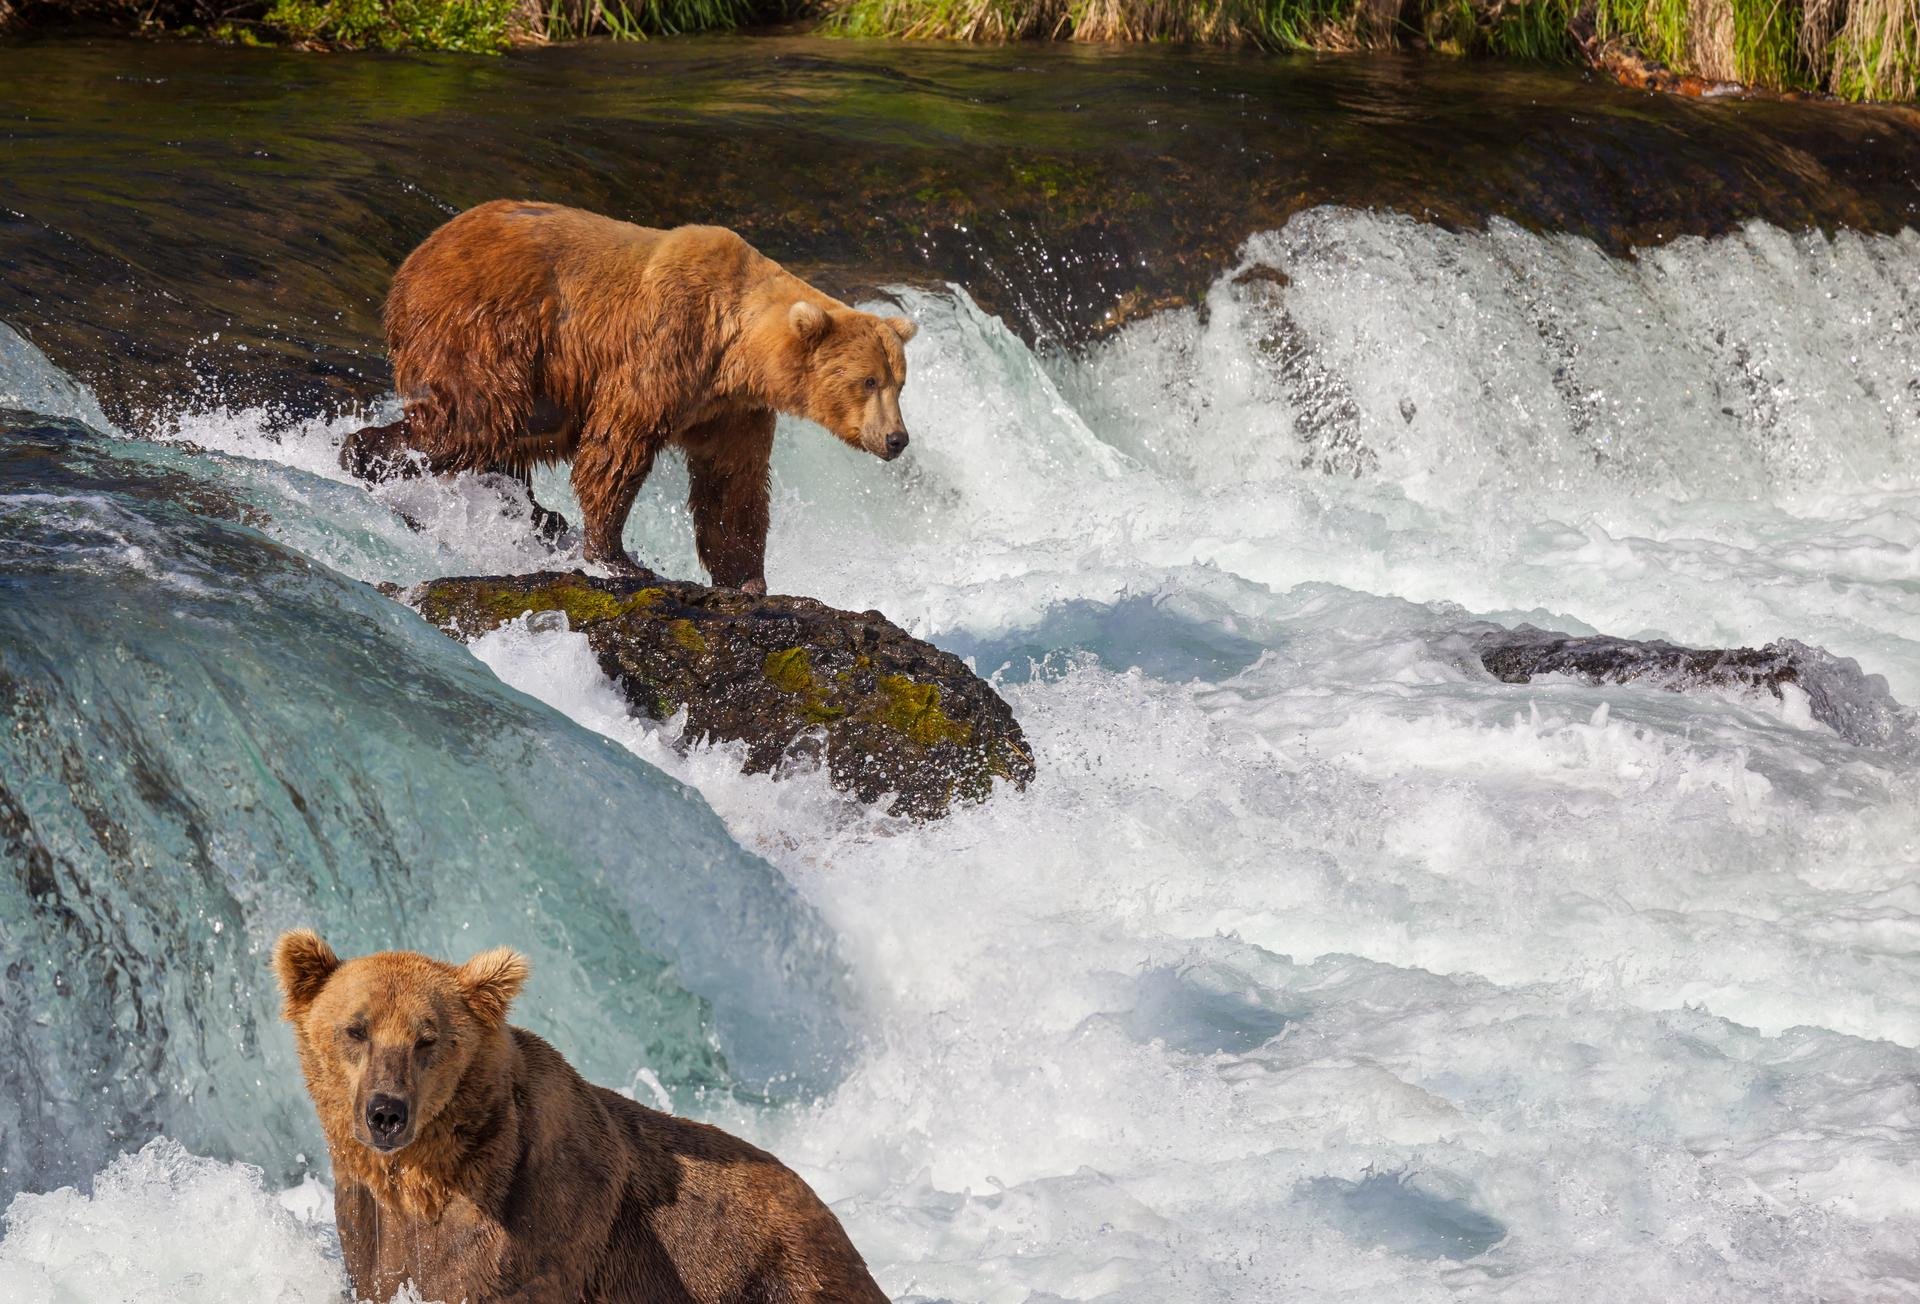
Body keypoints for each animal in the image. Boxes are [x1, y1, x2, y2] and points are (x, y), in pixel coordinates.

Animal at [343, 200, 913, 591]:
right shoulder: (666, 347)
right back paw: (365, 454)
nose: (897, 438)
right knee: (472, 419)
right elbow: (616, 448)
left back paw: (533, 513)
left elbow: (733, 484)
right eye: (868, 381)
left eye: (899, 381)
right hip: (483, 328)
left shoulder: (730, 409)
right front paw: (617, 556)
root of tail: (413, 260)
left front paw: (748, 577)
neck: (734, 348)